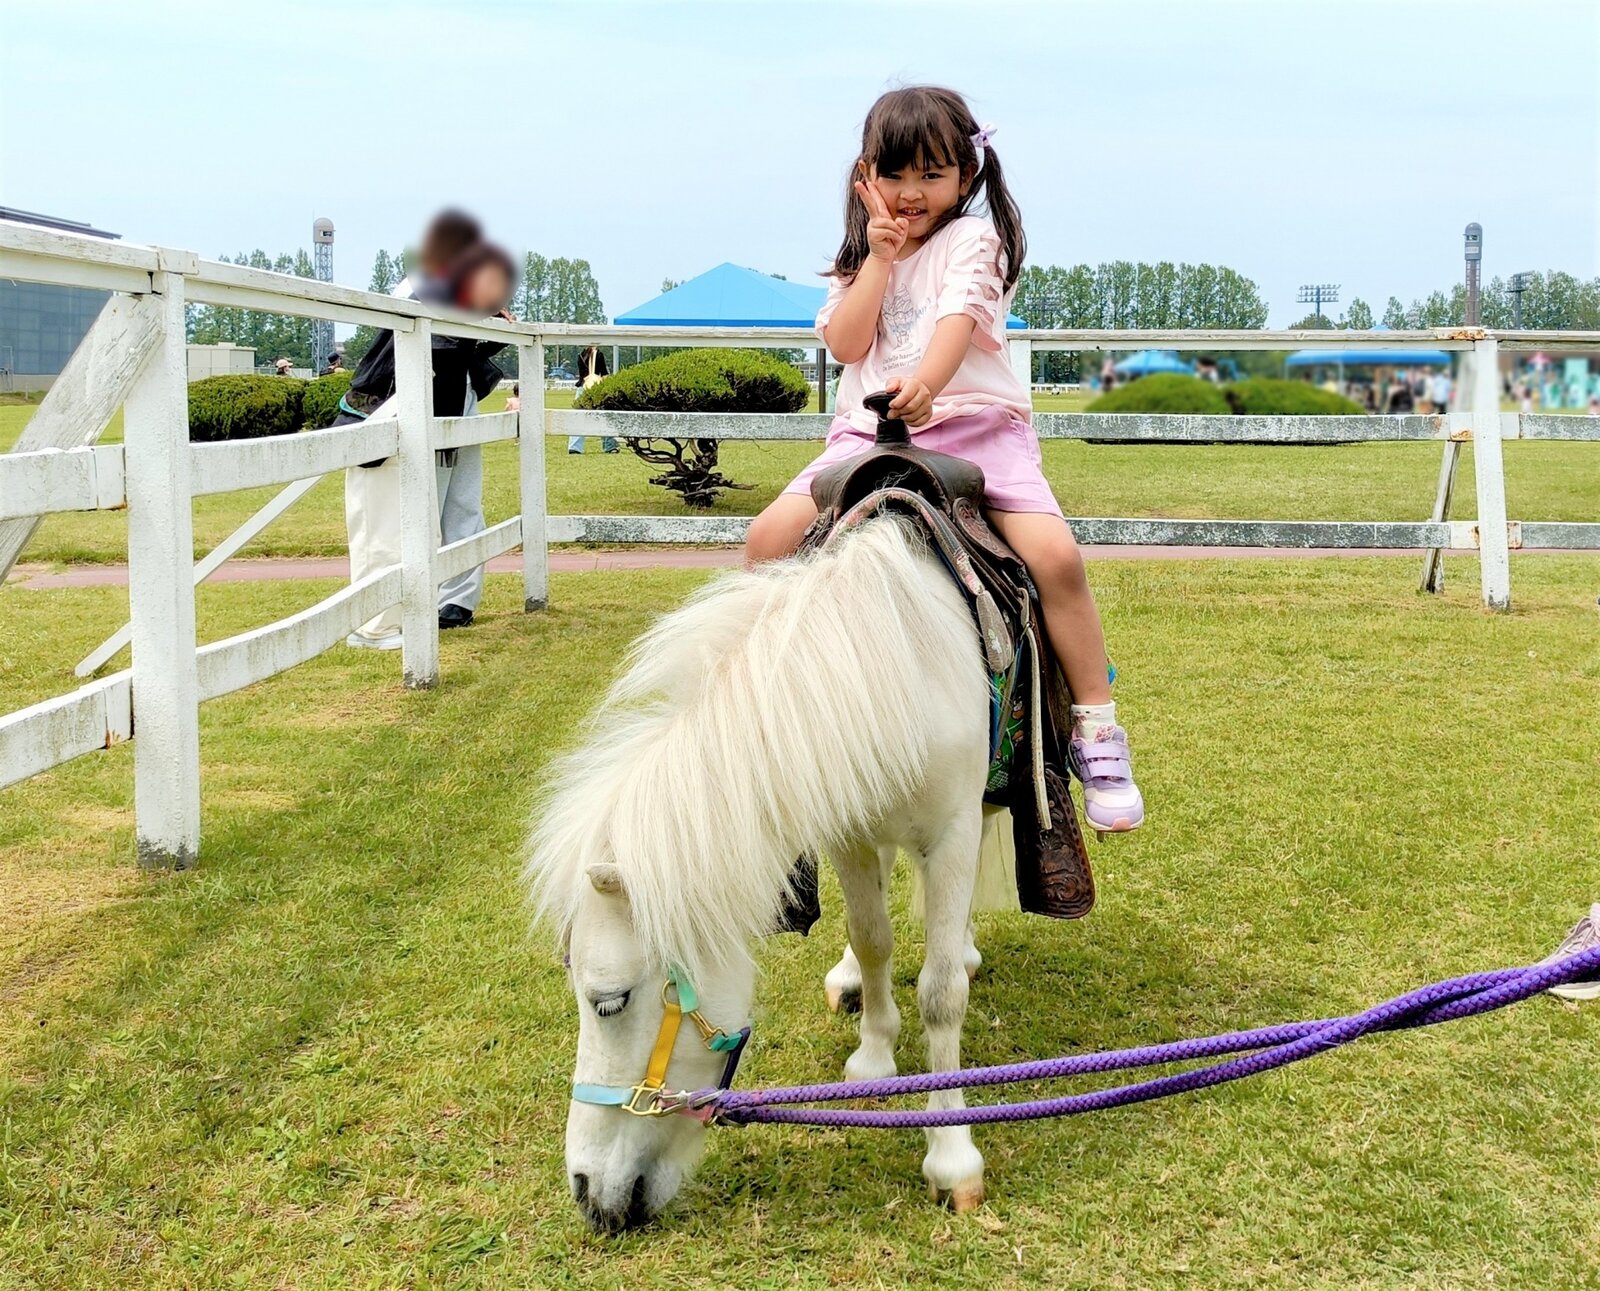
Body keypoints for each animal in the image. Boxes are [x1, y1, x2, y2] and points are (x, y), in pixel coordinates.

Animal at [526, 514, 1002, 1232]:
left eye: (609, 1001)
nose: (586, 1191)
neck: (890, 666)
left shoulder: (952, 832)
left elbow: (942, 993)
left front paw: (951, 1156)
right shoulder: (847, 827)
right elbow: (872, 940)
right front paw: (873, 1056)